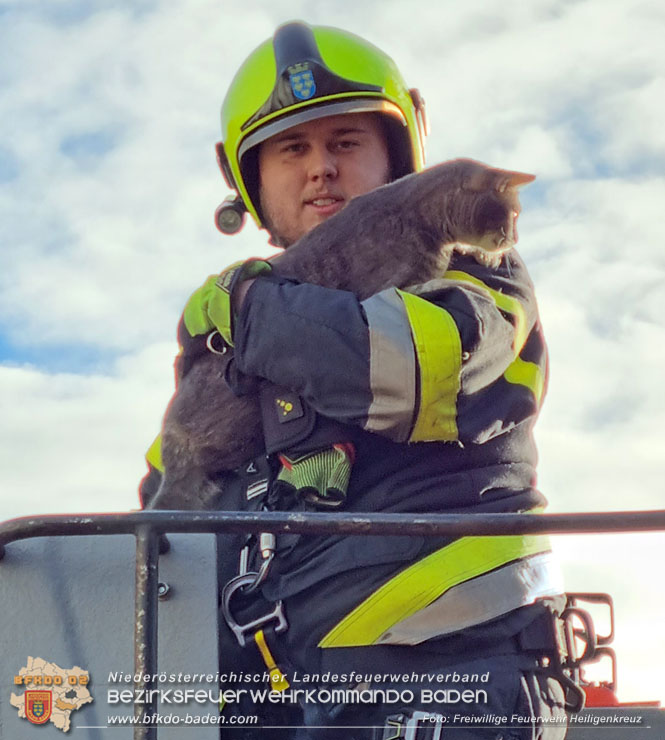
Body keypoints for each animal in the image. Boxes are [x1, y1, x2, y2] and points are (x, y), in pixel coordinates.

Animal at [150, 159, 536, 512]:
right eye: (514, 214)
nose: (516, 237)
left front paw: (483, 255)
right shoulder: (384, 290)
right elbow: (427, 286)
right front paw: (472, 275)